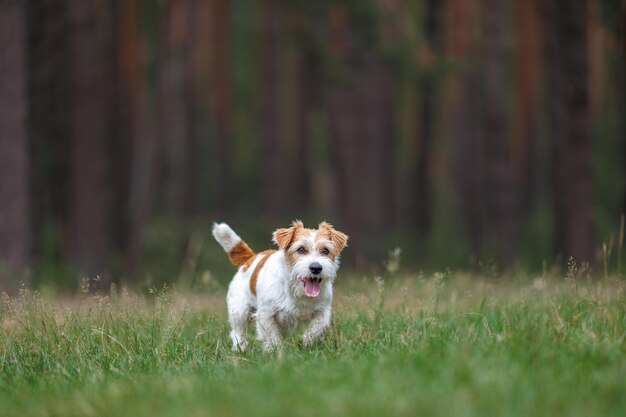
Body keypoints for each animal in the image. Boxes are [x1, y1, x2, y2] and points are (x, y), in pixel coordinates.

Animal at [210, 219, 346, 350]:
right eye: (301, 249)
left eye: (325, 251)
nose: (316, 268)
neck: (296, 290)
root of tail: (250, 258)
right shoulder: (266, 314)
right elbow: (271, 336)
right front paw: (275, 352)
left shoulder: (323, 311)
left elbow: (318, 327)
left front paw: (307, 342)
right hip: (239, 311)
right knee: (238, 332)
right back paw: (240, 348)